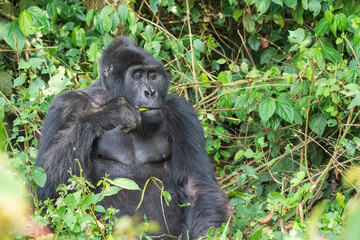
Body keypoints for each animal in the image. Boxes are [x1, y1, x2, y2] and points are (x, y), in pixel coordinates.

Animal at [35, 36, 228, 239]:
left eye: (153, 76)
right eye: (137, 76)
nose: (150, 92)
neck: (109, 93)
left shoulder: (181, 111)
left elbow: (197, 186)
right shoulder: (65, 105)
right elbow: (49, 191)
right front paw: (107, 115)